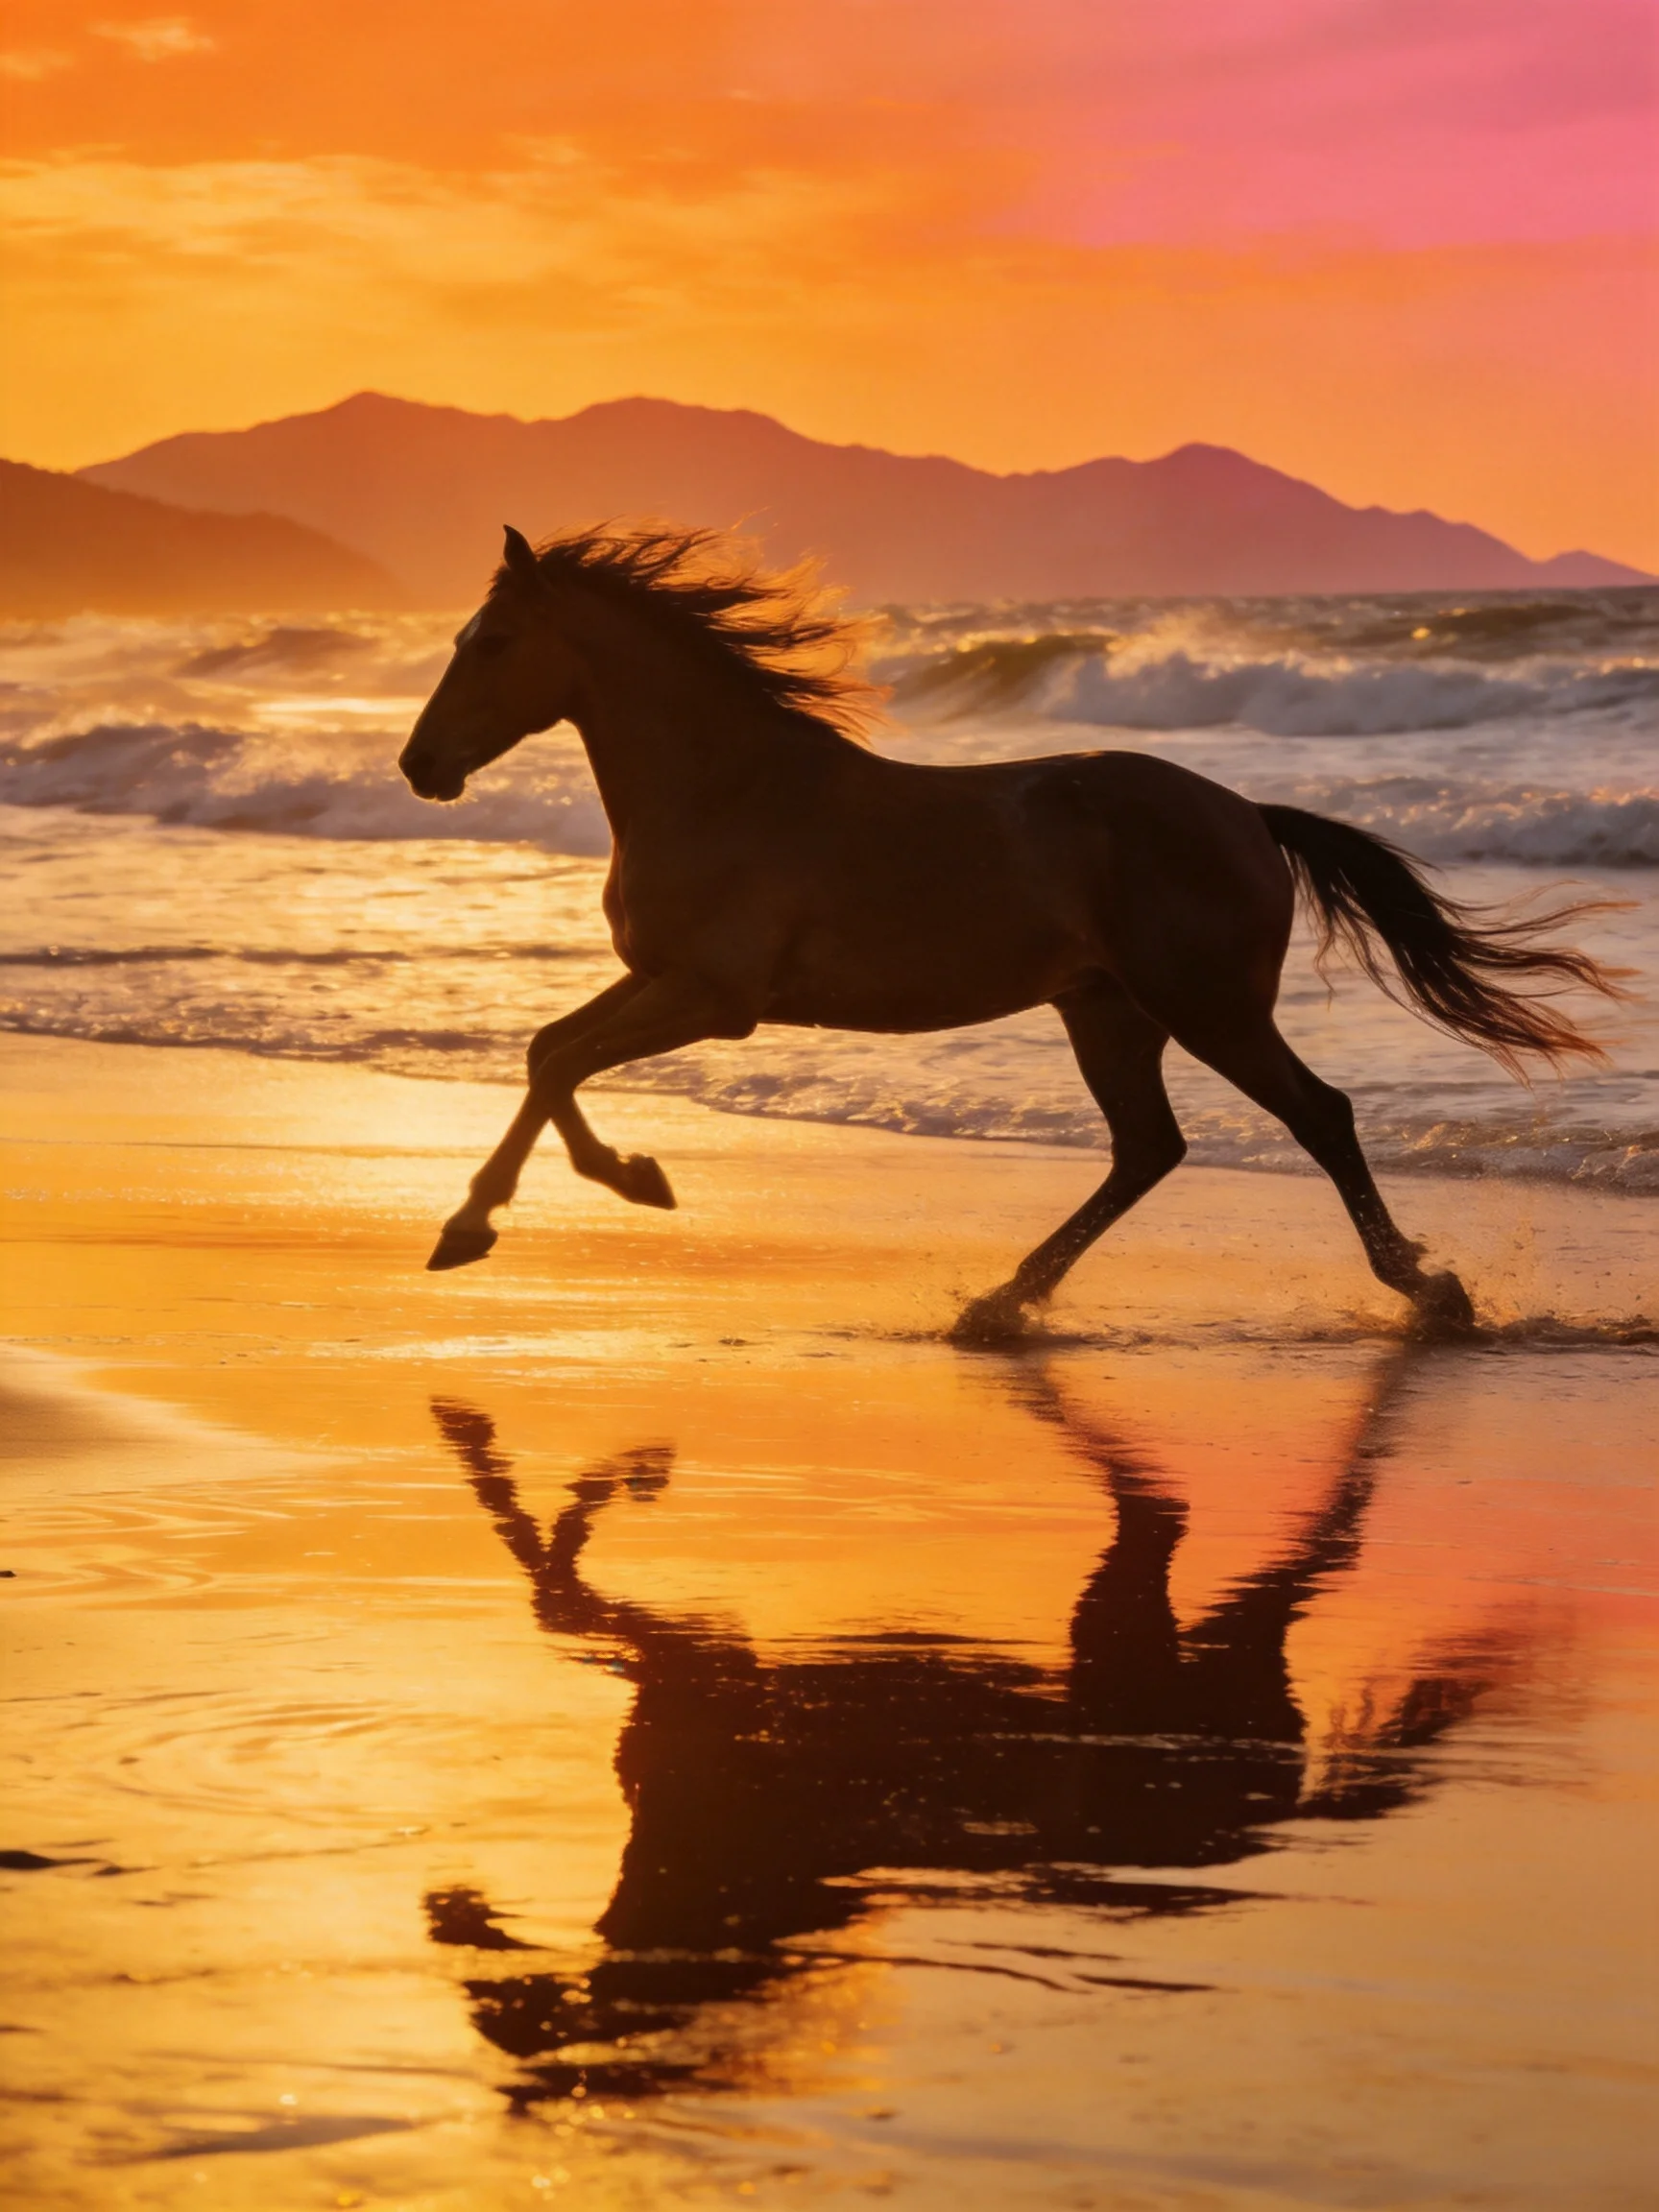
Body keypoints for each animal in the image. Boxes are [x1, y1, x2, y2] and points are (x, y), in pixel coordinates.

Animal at [398, 522, 1617, 1339]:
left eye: (493, 641)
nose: (420, 766)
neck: (725, 791)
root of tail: (1247, 814)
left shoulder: (714, 1000)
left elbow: (563, 1065)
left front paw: (564, 1200)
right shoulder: (663, 980)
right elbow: (546, 1052)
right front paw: (510, 1213)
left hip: (1206, 1005)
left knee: (1318, 1115)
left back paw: (1431, 1291)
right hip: (1108, 1014)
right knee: (1149, 1149)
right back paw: (1000, 1301)